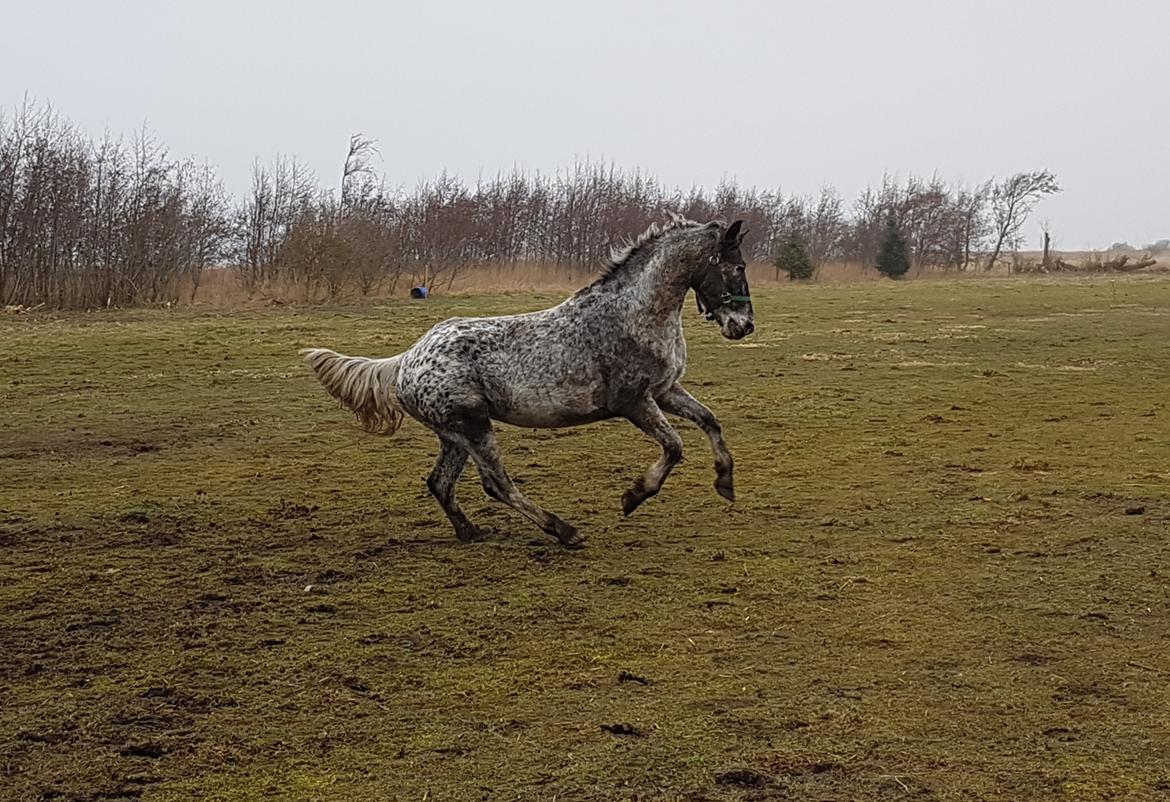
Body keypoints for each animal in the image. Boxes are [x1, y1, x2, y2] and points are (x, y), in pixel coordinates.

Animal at [301, 215, 753, 547]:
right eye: (737, 266)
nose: (744, 325)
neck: (634, 315)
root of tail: (405, 360)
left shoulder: (665, 391)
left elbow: (710, 421)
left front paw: (726, 483)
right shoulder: (635, 403)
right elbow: (674, 447)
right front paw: (633, 496)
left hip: (454, 435)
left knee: (440, 484)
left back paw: (470, 533)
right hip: (474, 428)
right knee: (497, 484)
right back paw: (565, 532)